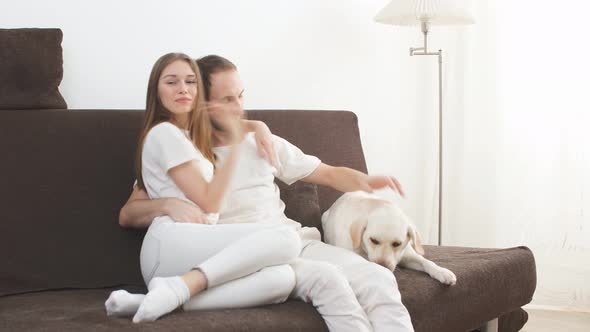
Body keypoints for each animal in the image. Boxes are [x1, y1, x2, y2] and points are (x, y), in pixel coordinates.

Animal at [324, 192, 458, 286]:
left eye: (397, 244)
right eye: (373, 240)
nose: (383, 266)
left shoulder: (407, 255)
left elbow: (426, 261)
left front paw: (441, 271)